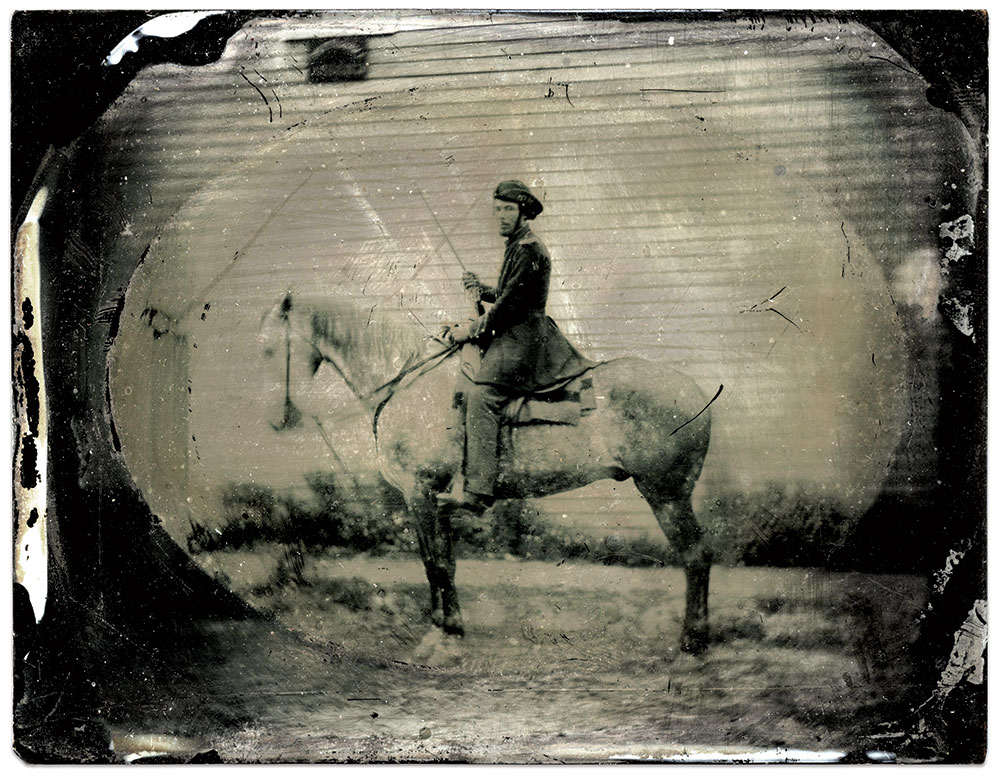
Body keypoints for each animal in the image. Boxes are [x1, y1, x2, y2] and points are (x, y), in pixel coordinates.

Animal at [258, 294, 720, 652]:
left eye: (266, 350)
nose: (275, 422)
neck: (408, 382)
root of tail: (696, 390)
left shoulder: (419, 492)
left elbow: (434, 563)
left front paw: (439, 635)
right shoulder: (433, 499)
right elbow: (443, 563)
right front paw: (450, 628)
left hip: (666, 493)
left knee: (695, 556)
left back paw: (692, 641)